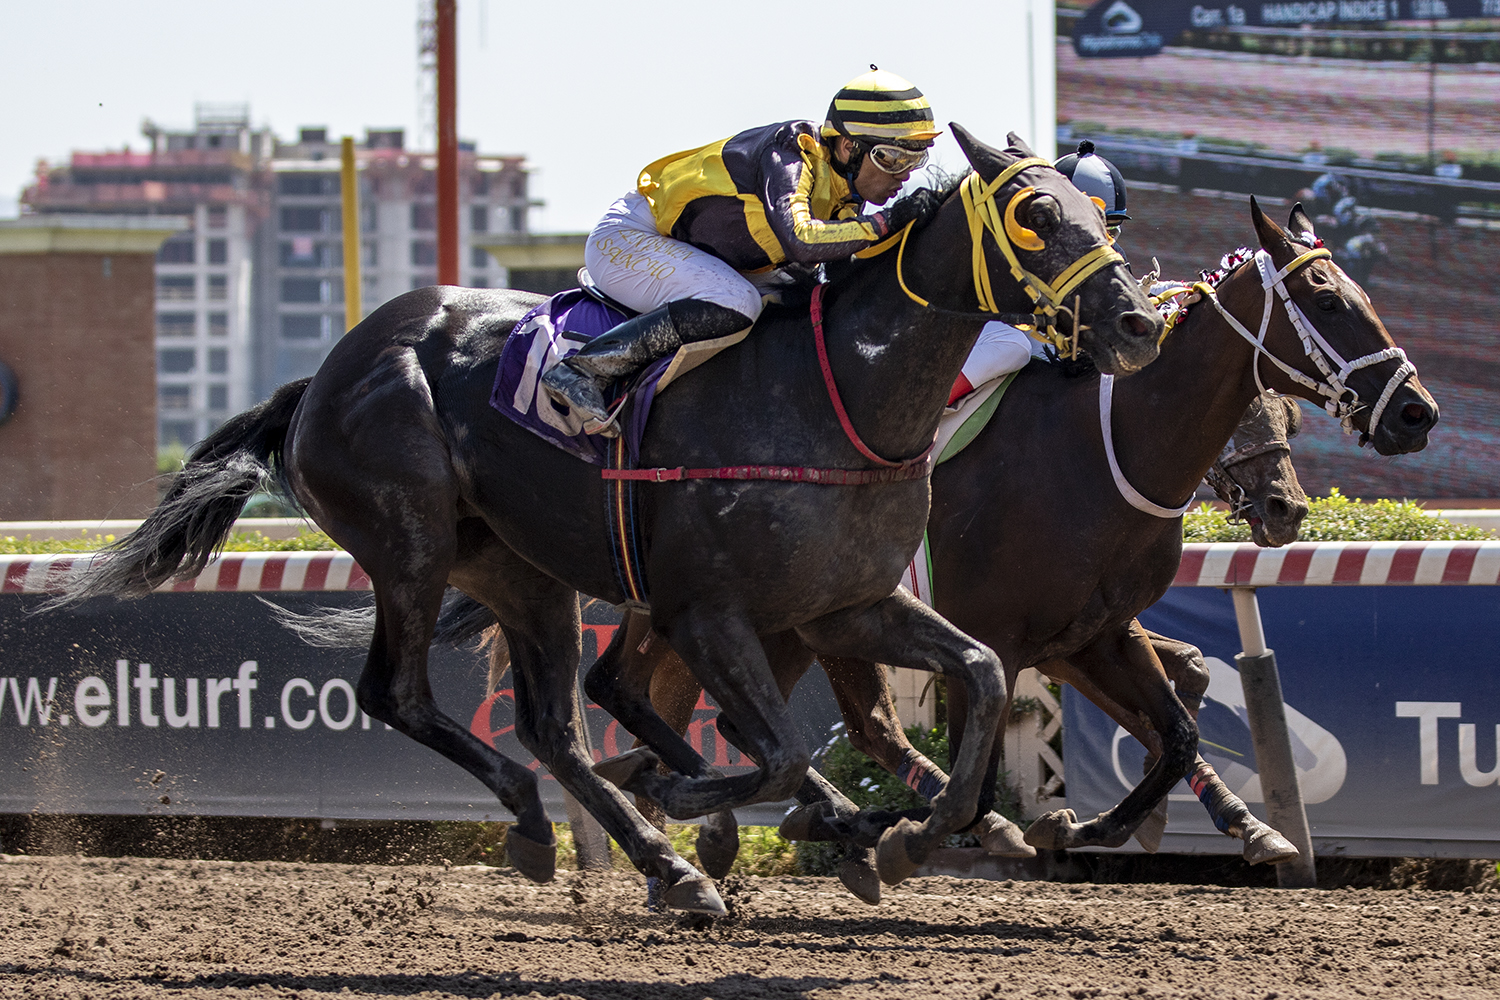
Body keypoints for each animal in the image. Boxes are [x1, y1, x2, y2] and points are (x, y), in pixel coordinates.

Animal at [50, 125, 1163, 914]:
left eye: (1098, 214)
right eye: (1034, 212)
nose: (1137, 320)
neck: (837, 392)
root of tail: (324, 372)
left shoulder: (845, 602)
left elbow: (977, 674)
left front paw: (921, 831)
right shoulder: (707, 610)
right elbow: (776, 749)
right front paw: (756, 807)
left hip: (520, 570)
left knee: (552, 724)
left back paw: (664, 861)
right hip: (409, 543)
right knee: (401, 693)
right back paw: (592, 832)